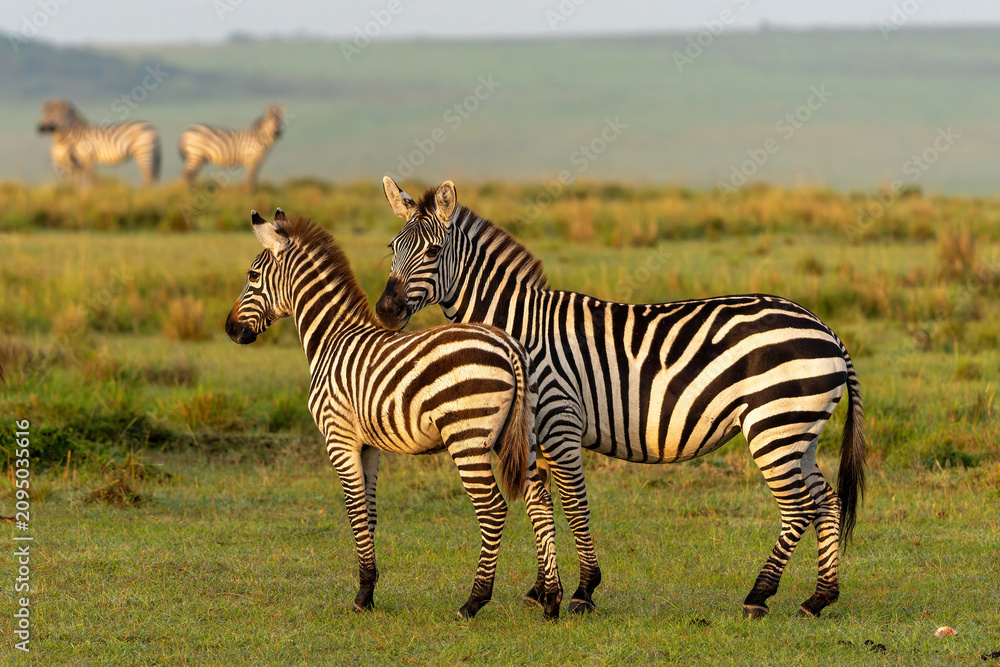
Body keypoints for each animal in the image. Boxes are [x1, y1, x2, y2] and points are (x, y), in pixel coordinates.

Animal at [225, 208, 563, 619]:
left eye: (252, 276)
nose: (230, 329)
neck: (332, 339)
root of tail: (509, 346)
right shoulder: (368, 445)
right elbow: (369, 514)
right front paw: (369, 589)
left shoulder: (339, 439)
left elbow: (354, 512)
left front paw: (361, 595)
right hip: (517, 434)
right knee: (541, 503)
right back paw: (551, 599)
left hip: (467, 439)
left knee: (493, 509)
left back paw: (474, 601)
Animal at [375, 178, 868, 619]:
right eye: (392, 248)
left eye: (433, 252)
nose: (385, 311)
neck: (520, 332)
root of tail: (826, 329)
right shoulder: (532, 435)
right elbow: (538, 506)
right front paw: (541, 591)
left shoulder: (560, 423)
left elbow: (574, 506)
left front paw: (582, 591)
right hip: (799, 431)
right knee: (827, 501)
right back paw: (818, 598)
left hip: (774, 425)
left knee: (800, 507)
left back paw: (759, 595)